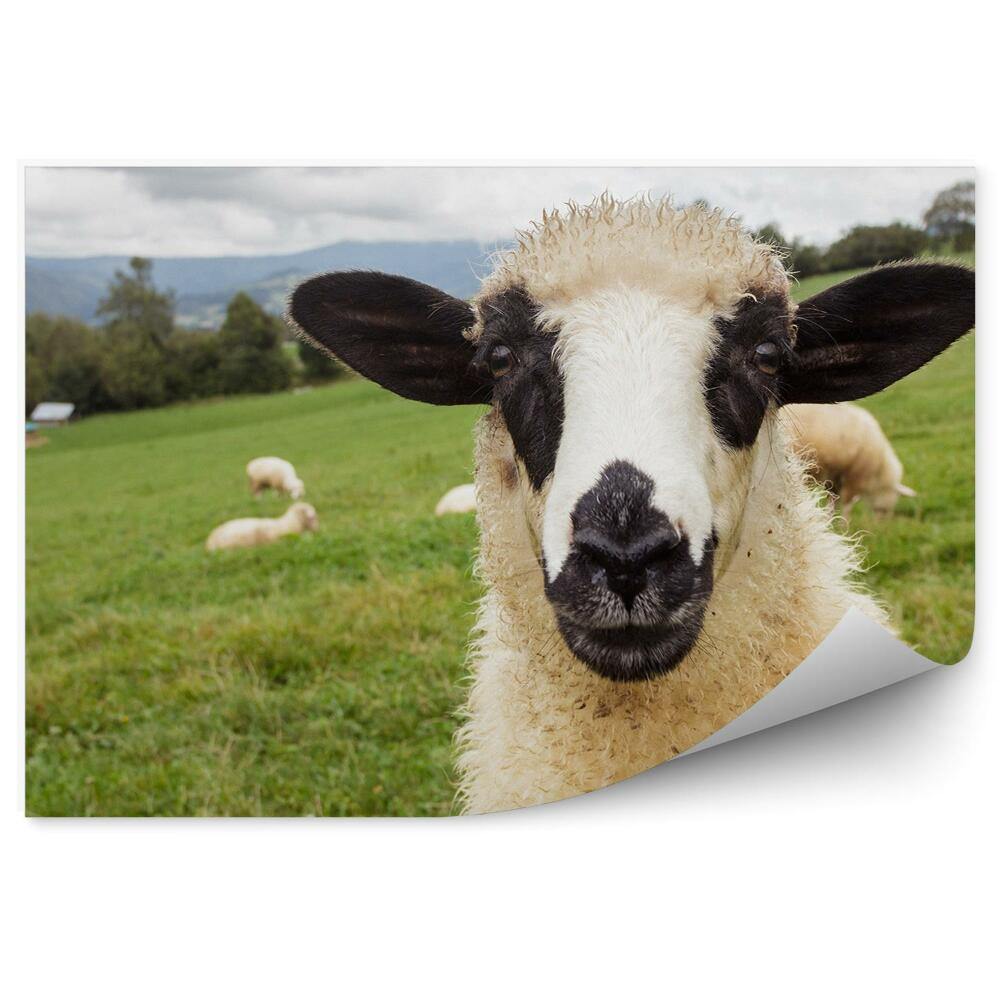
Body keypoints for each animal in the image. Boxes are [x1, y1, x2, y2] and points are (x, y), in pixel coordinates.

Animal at [784, 402, 915, 514]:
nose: (880, 522)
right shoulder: (854, 477)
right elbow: (847, 505)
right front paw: (843, 526)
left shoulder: (835, 478)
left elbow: (833, 503)